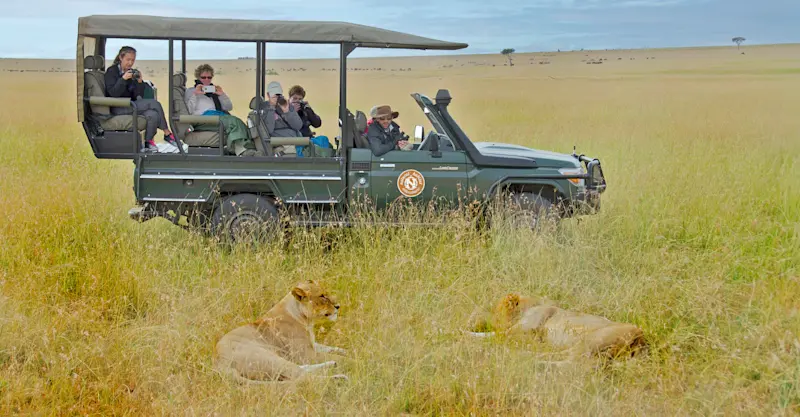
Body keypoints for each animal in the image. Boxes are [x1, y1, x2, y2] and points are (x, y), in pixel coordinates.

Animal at [214, 280, 348, 384]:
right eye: (322, 296)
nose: (338, 306)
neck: (306, 320)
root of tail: (219, 363)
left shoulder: (312, 345)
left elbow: (332, 349)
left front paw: (347, 351)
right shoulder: (305, 355)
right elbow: (337, 356)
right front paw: (351, 359)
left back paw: (333, 365)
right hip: (270, 358)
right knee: (303, 377)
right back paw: (339, 378)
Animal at [466, 293, 646, 361]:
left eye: (496, 310)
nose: (480, 317)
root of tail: (640, 336)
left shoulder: (524, 327)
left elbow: (495, 335)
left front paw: (465, 333)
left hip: (592, 340)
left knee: (569, 361)